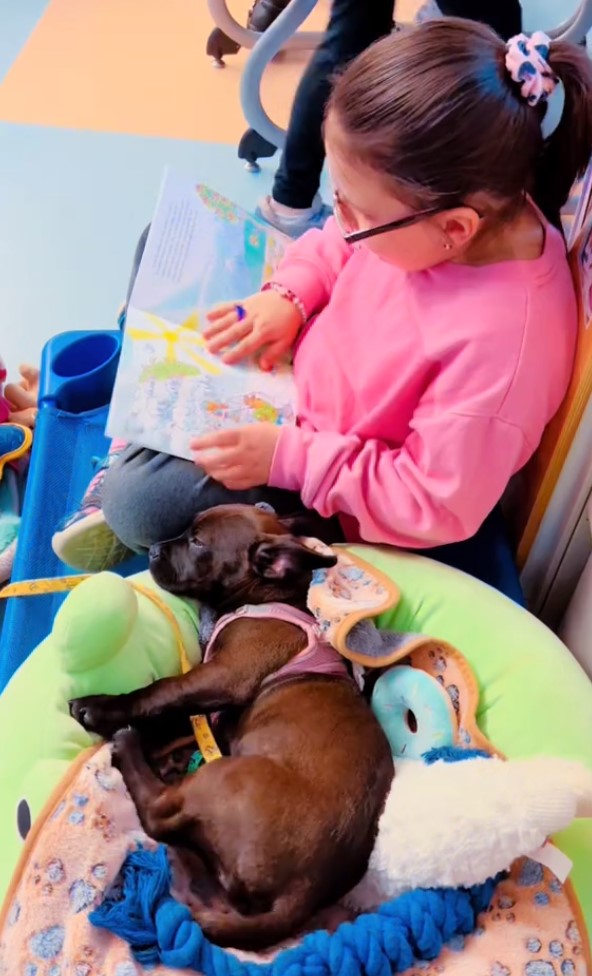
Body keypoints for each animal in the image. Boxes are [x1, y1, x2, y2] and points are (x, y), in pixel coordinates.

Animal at [69, 508, 394, 948]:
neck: (268, 597)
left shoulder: (220, 677)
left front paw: (100, 708)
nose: (153, 550)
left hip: (221, 775)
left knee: (157, 814)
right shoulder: (217, 712)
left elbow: (158, 692)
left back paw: (131, 750)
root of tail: (304, 893)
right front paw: (156, 743)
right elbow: (171, 720)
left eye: (197, 542)